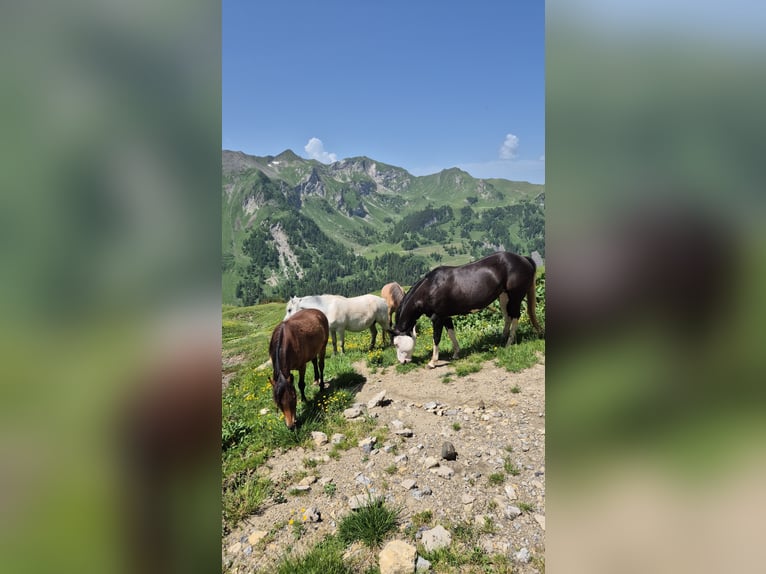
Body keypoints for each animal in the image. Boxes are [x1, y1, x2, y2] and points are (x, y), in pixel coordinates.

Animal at [390, 251, 543, 368]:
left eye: (396, 344)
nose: (402, 362)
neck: (430, 288)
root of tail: (523, 259)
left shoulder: (437, 318)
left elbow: (436, 338)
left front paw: (433, 362)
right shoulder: (445, 316)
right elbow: (451, 333)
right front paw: (456, 353)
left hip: (515, 296)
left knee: (515, 315)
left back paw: (508, 343)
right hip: (503, 296)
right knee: (507, 317)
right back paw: (502, 338)